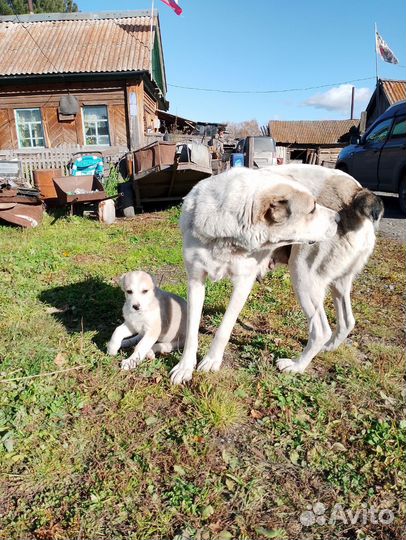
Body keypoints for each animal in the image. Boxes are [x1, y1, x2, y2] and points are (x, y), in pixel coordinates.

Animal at [170, 165, 350, 384]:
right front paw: (185, 367)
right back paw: (327, 349)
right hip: (336, 286)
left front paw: (212, 361)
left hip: (302, 277)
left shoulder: (243, 283)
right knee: (347, 321)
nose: (338, 218)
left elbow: (224, 329)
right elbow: (191, 331)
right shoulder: (195, 280)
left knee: (321, 330)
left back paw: (296, 366)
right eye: (312, 209)